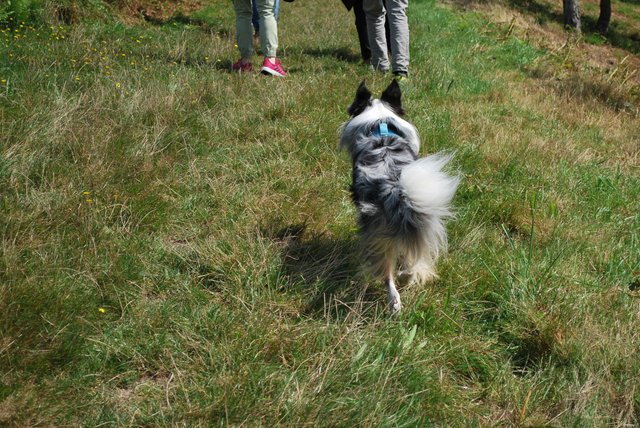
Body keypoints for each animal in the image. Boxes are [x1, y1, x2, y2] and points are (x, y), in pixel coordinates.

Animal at [340, 80, 460, 314]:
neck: (380, 125)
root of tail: (394, 188)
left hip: (378, 234)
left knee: (386, 273)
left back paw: (394, 300)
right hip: (422, 222)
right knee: (415, 260)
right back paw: (407, 278)